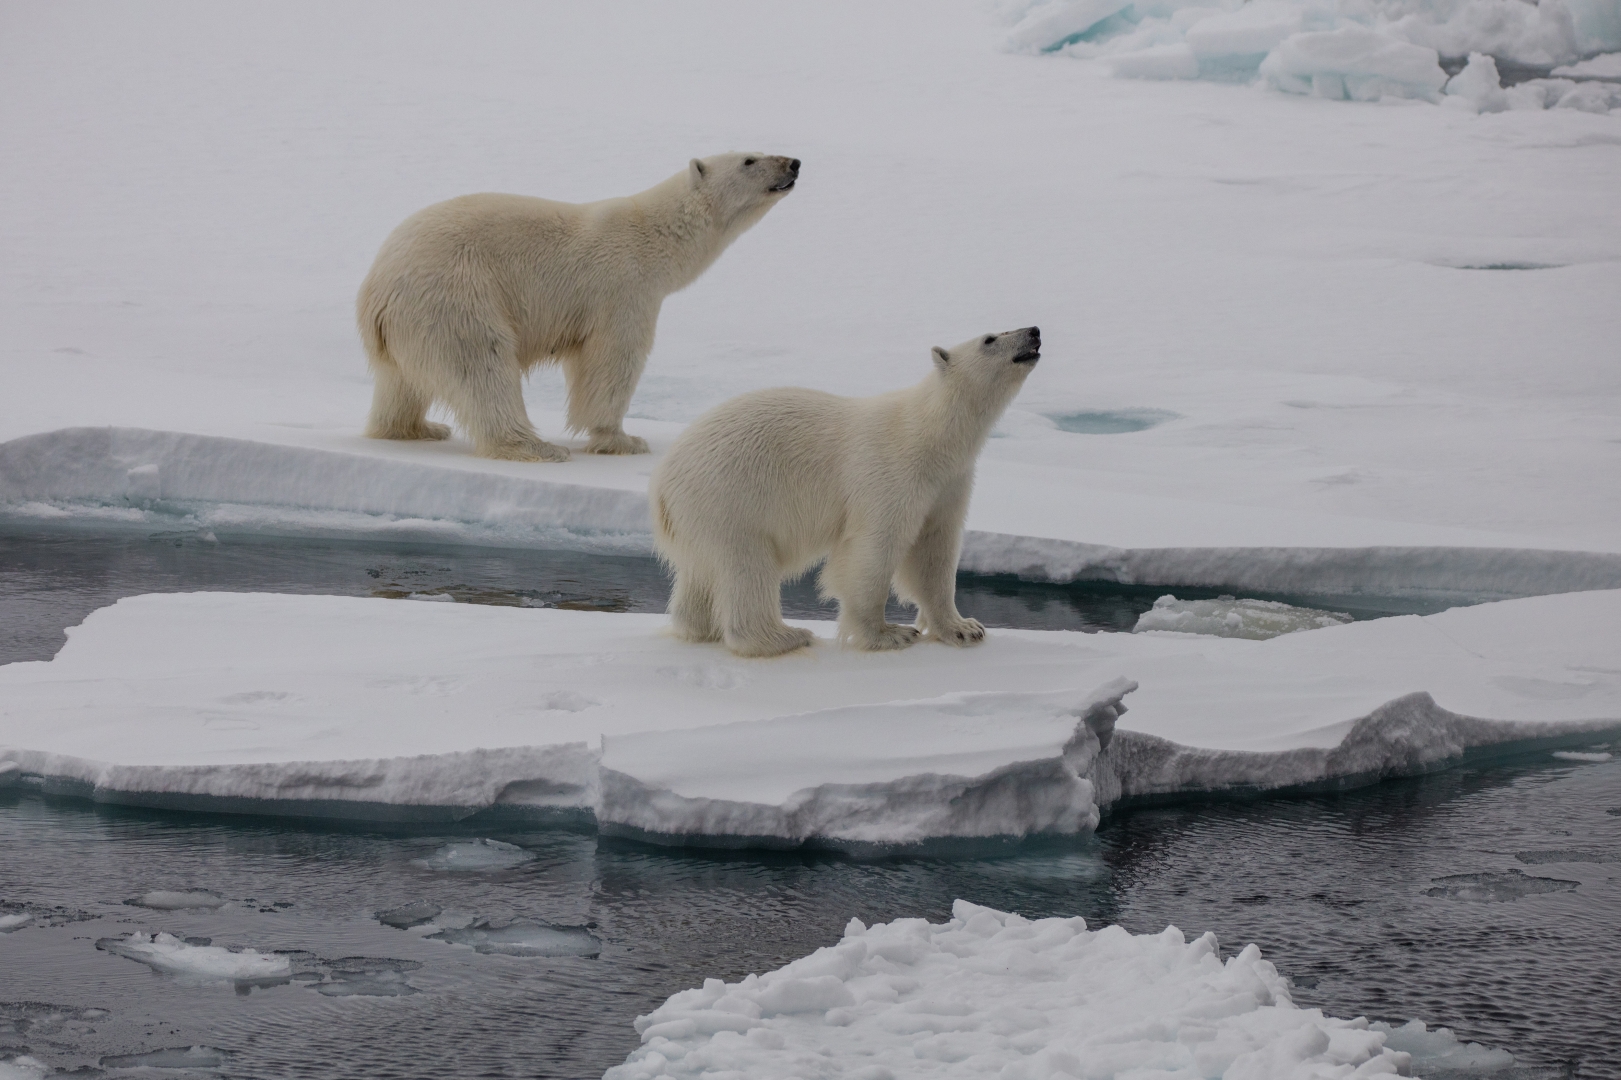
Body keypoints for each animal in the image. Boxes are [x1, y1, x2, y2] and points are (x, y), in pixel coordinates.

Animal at [354, 152, 797, 457]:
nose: (793, 163)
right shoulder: (623, 287)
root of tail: (375, 287)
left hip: (407, 325)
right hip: (454, 296)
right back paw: (536, 447)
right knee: (482, 366)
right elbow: (612, 360)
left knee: (401, 382)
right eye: (749, 159)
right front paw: (624, 439)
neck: (656, 237)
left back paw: (418, 428)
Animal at [651, 324, 1043, 655]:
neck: (929, 433)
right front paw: (889, 634)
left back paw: (701, 628)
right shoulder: (890, 473)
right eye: (990, 338)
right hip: (728, 496)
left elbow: (935, 551)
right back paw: (783, 637)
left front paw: (964, 627)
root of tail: (663, 482)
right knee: (746, 566)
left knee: (701, 573)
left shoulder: (948, 484)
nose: (1034, 331)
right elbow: (874, 550)